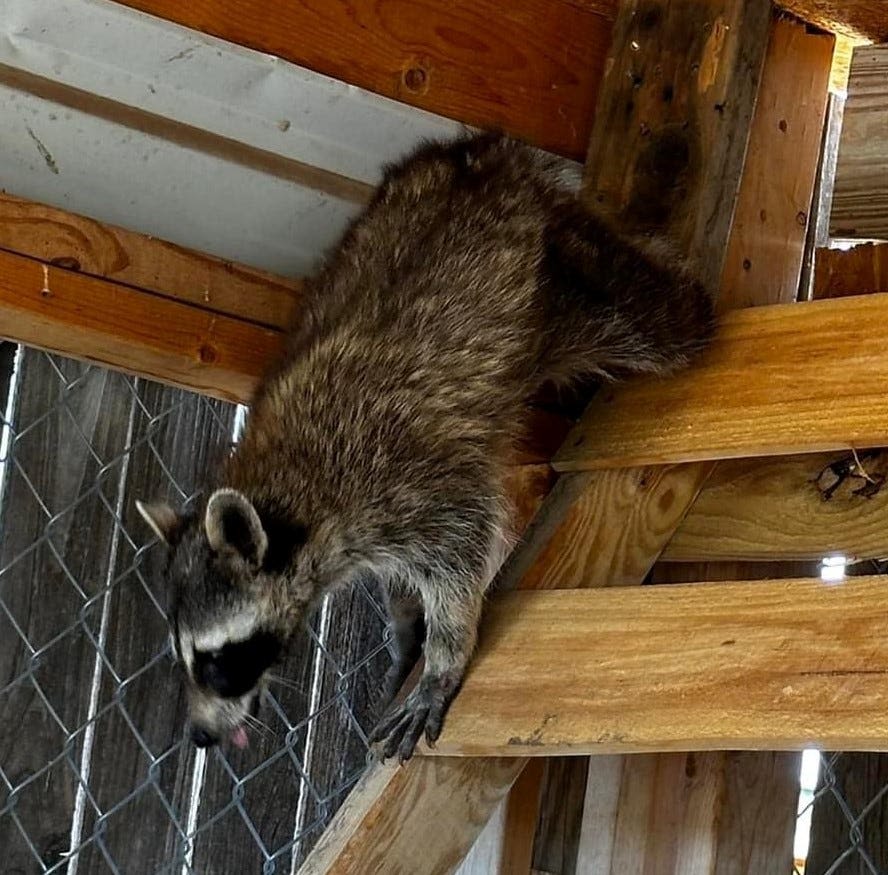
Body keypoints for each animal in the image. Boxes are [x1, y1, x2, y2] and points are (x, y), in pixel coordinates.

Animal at [135, 133, 716, 764]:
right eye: (186, 659)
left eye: (217, 660)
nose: (199, 735)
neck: (287, 491)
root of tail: (473, 151)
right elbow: (401, 580)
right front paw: (408, 628)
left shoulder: (406, 479)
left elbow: (462, 554)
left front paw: (444, 652)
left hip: (562, 281)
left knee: (657, 316)